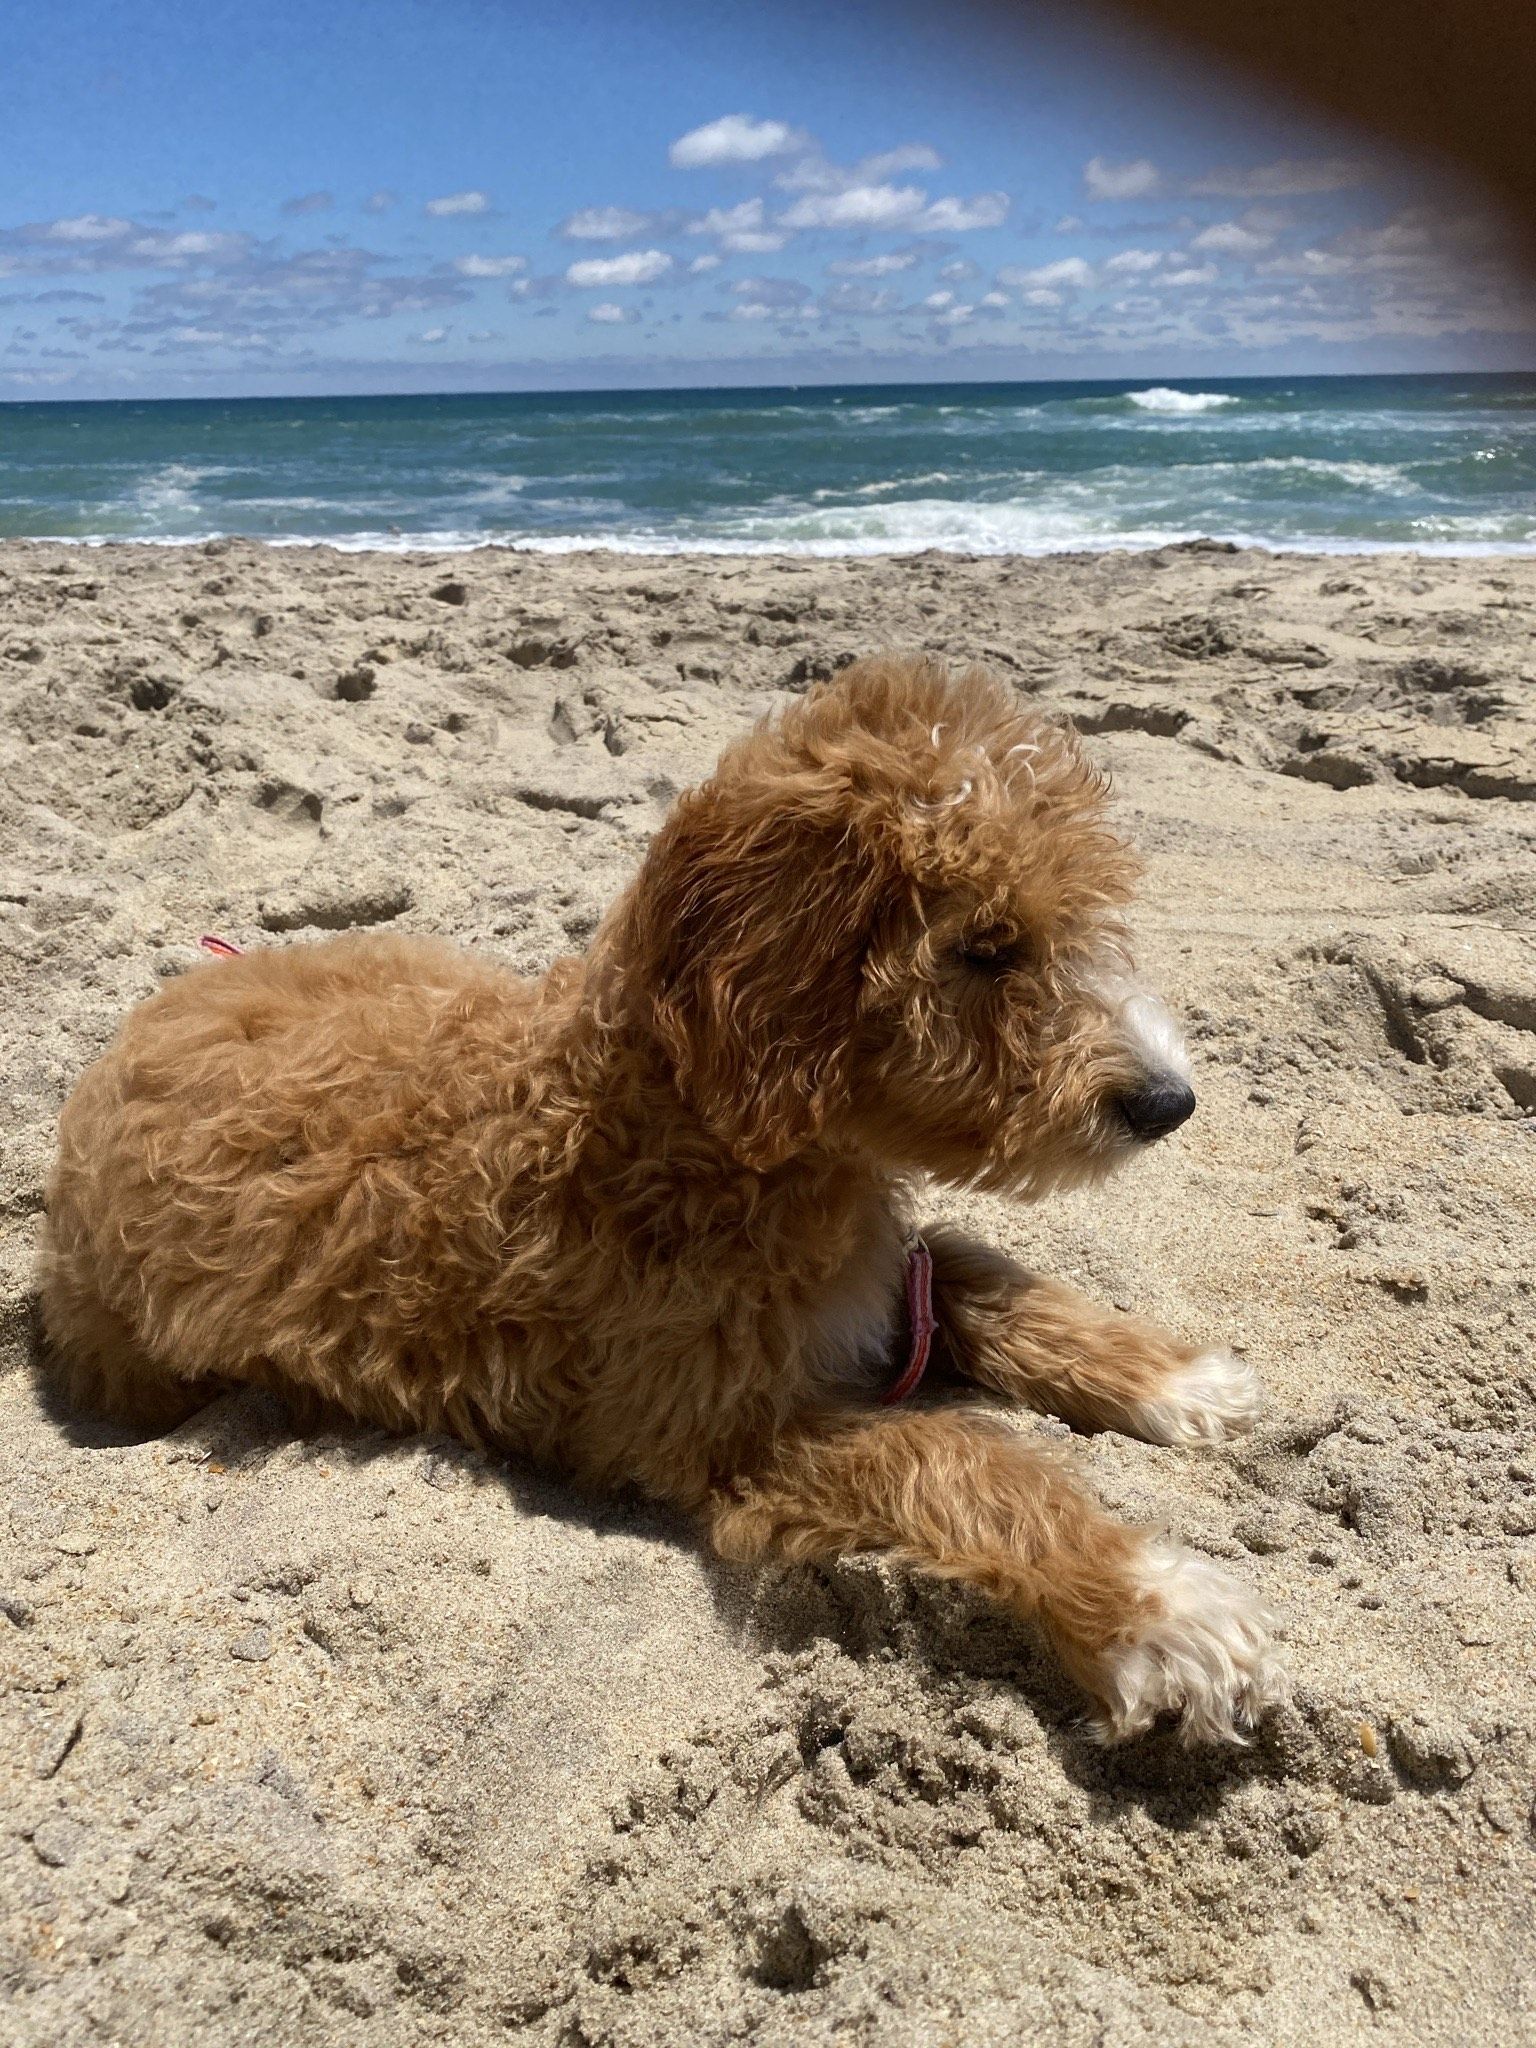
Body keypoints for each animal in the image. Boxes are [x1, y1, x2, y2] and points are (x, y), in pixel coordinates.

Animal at [39, 655, 1286, 1744]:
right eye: (987, 945)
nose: (1170, 1099)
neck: (704, 1130)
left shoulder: (887, 1270)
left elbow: (980, 1272)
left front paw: (1173, 1377)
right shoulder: (715, 1430)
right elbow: (954, 1456)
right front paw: (1153, 1607)